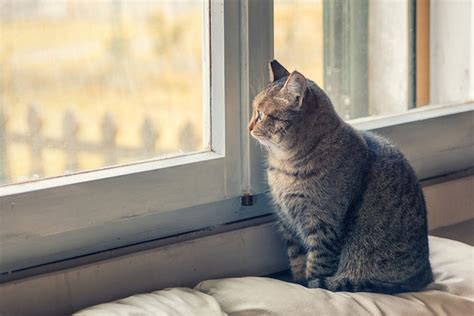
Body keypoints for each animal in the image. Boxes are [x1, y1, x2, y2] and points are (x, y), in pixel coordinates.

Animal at [248, 59, 434, 294]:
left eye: (261, 115)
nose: (248, 127)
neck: (285, 166)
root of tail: (424, 274)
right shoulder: (288, 224)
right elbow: (297, 261)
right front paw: (298, 282)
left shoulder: (323, 227)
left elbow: (316, 268)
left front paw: (309, 286)